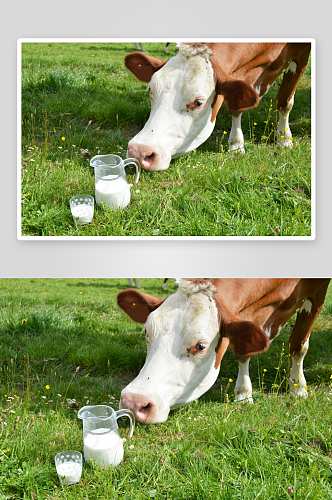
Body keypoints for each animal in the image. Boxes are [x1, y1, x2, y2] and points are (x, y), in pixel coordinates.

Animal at [117, 280, 330, 424]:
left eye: (200, 346)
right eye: (146, 332)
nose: (134, 402)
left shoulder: (317, 294)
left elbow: (298, 346)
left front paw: (298, 387)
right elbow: (243, 352)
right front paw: (244, 393)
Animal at [124, 41, 312, 170]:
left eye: (198, 102)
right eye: (150, 90)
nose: (139, 152)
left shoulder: (301, 56)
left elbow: (285, 102)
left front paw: (284, 139)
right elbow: (236, 107)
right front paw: (236, 144)